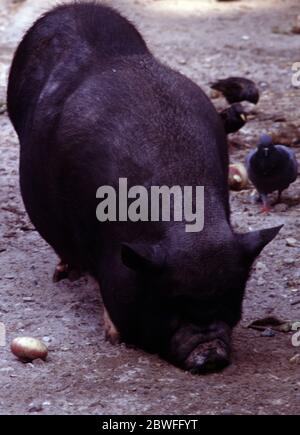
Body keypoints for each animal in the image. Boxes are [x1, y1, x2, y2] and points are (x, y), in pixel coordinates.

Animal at [8, 1, 282, 372]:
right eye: (168, 305)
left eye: (231, 302)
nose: (209, 354)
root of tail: (72, 7)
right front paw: (113, 335)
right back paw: (63, 274)